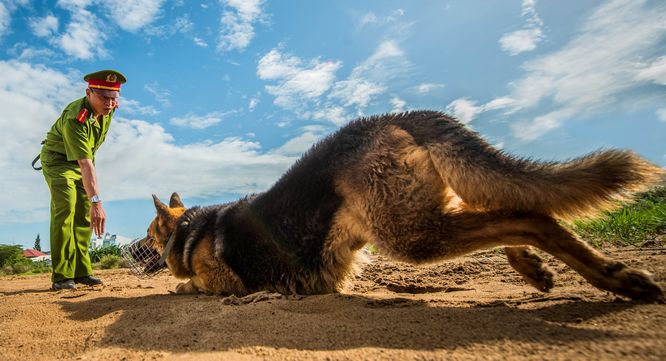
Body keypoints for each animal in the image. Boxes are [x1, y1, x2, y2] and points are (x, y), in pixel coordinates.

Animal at [137, 110, 660, 300]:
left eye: (147, 234)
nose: (132, 250)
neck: (189, 230)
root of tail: (388, 116)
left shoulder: (219, 284)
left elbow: (187, 287)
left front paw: (177, 284)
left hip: (410, 234)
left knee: (529, 216)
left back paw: (616, 278)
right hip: (419, 214)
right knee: (507, 210)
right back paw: (536, 268)